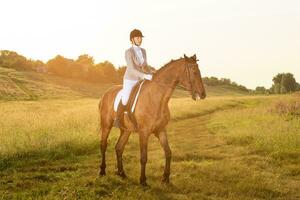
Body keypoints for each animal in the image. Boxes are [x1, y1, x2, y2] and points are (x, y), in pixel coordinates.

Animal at [98, 53, 206, 186]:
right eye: (194, 72)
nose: (203, 94)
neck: (156, 98)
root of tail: (105, 94)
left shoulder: (161, 130)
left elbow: (168, 152)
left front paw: (165, 178)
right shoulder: (144, 132)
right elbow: (144, 157)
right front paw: (143, 181)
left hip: (126, 130)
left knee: (119, 148)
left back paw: (121, 173)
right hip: (106, 125)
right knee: (103, 145)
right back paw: (102, 171)